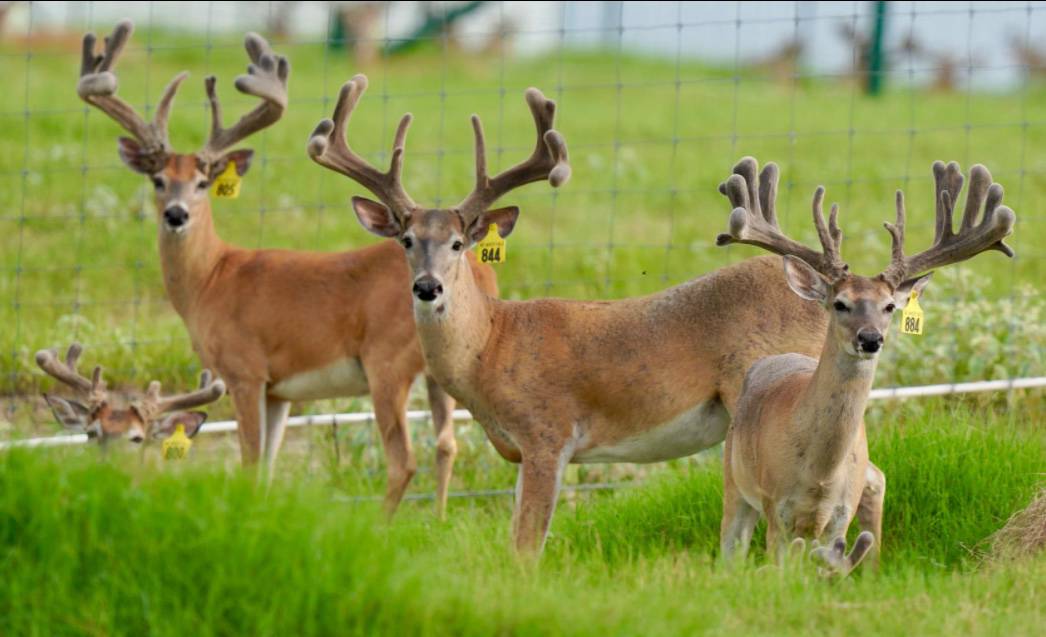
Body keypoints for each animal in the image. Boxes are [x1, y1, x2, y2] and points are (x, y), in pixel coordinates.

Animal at [77, 20, 497, 516]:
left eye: (202, 182)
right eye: (158, 180)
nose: (176, 215)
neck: (211, 279)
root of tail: (480, 270)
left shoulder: (245, 370)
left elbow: (249, 461)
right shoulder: (279, 390)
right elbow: (267, 467)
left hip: (387, 361)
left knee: (404, 458)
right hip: (436, 373)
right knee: (448, 444)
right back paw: (438, 519)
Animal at [308, 74, 850, 555]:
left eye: (459, 243)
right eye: (405, 239)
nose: (427, 287)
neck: (490, 346)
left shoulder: (548, 433)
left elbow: (527, 547)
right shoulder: (522, 451)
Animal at [717, 158, 1016, 575]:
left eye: (889, 306)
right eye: (840, 303)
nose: (871, 338)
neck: (819, 474)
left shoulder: (840, 514)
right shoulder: (776, 506)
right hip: (736, 480)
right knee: (730, 548)